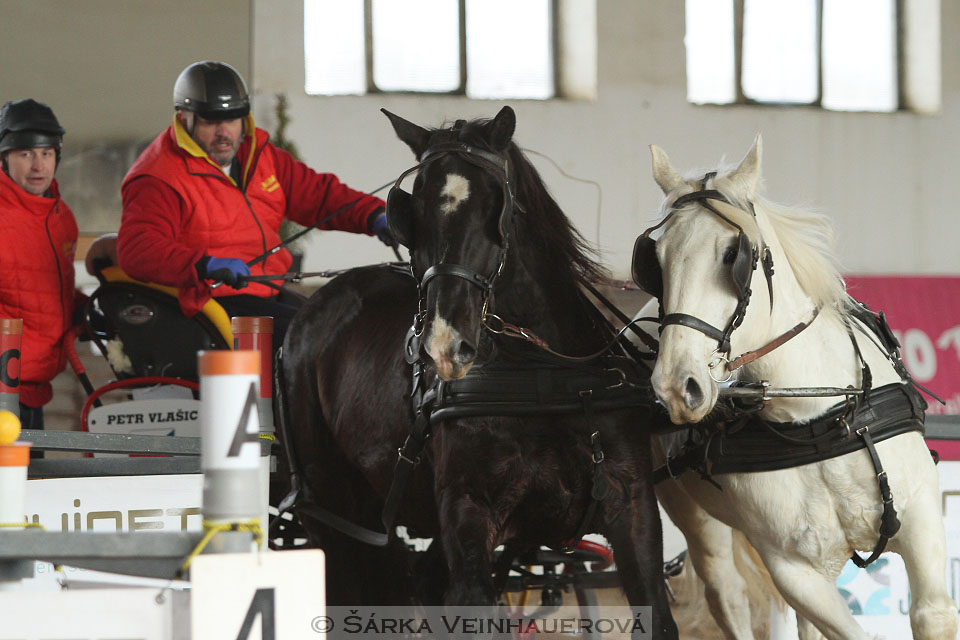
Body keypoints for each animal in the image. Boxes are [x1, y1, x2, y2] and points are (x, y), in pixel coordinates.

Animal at [280, 105, 676, 636]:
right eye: (414, 208)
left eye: (496, 203)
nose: (444, 345)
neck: (540, 376)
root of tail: (312, 307)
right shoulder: (468, 511)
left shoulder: (631, 507)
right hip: (332, 513)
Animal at [632, 138, 956, 636]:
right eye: (657, 261)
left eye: (733, 254)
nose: (674, 387)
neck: (816, 420)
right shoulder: (794, 572)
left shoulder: (920, 522)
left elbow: (931, 615)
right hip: (700, 521)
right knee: (726, 593)